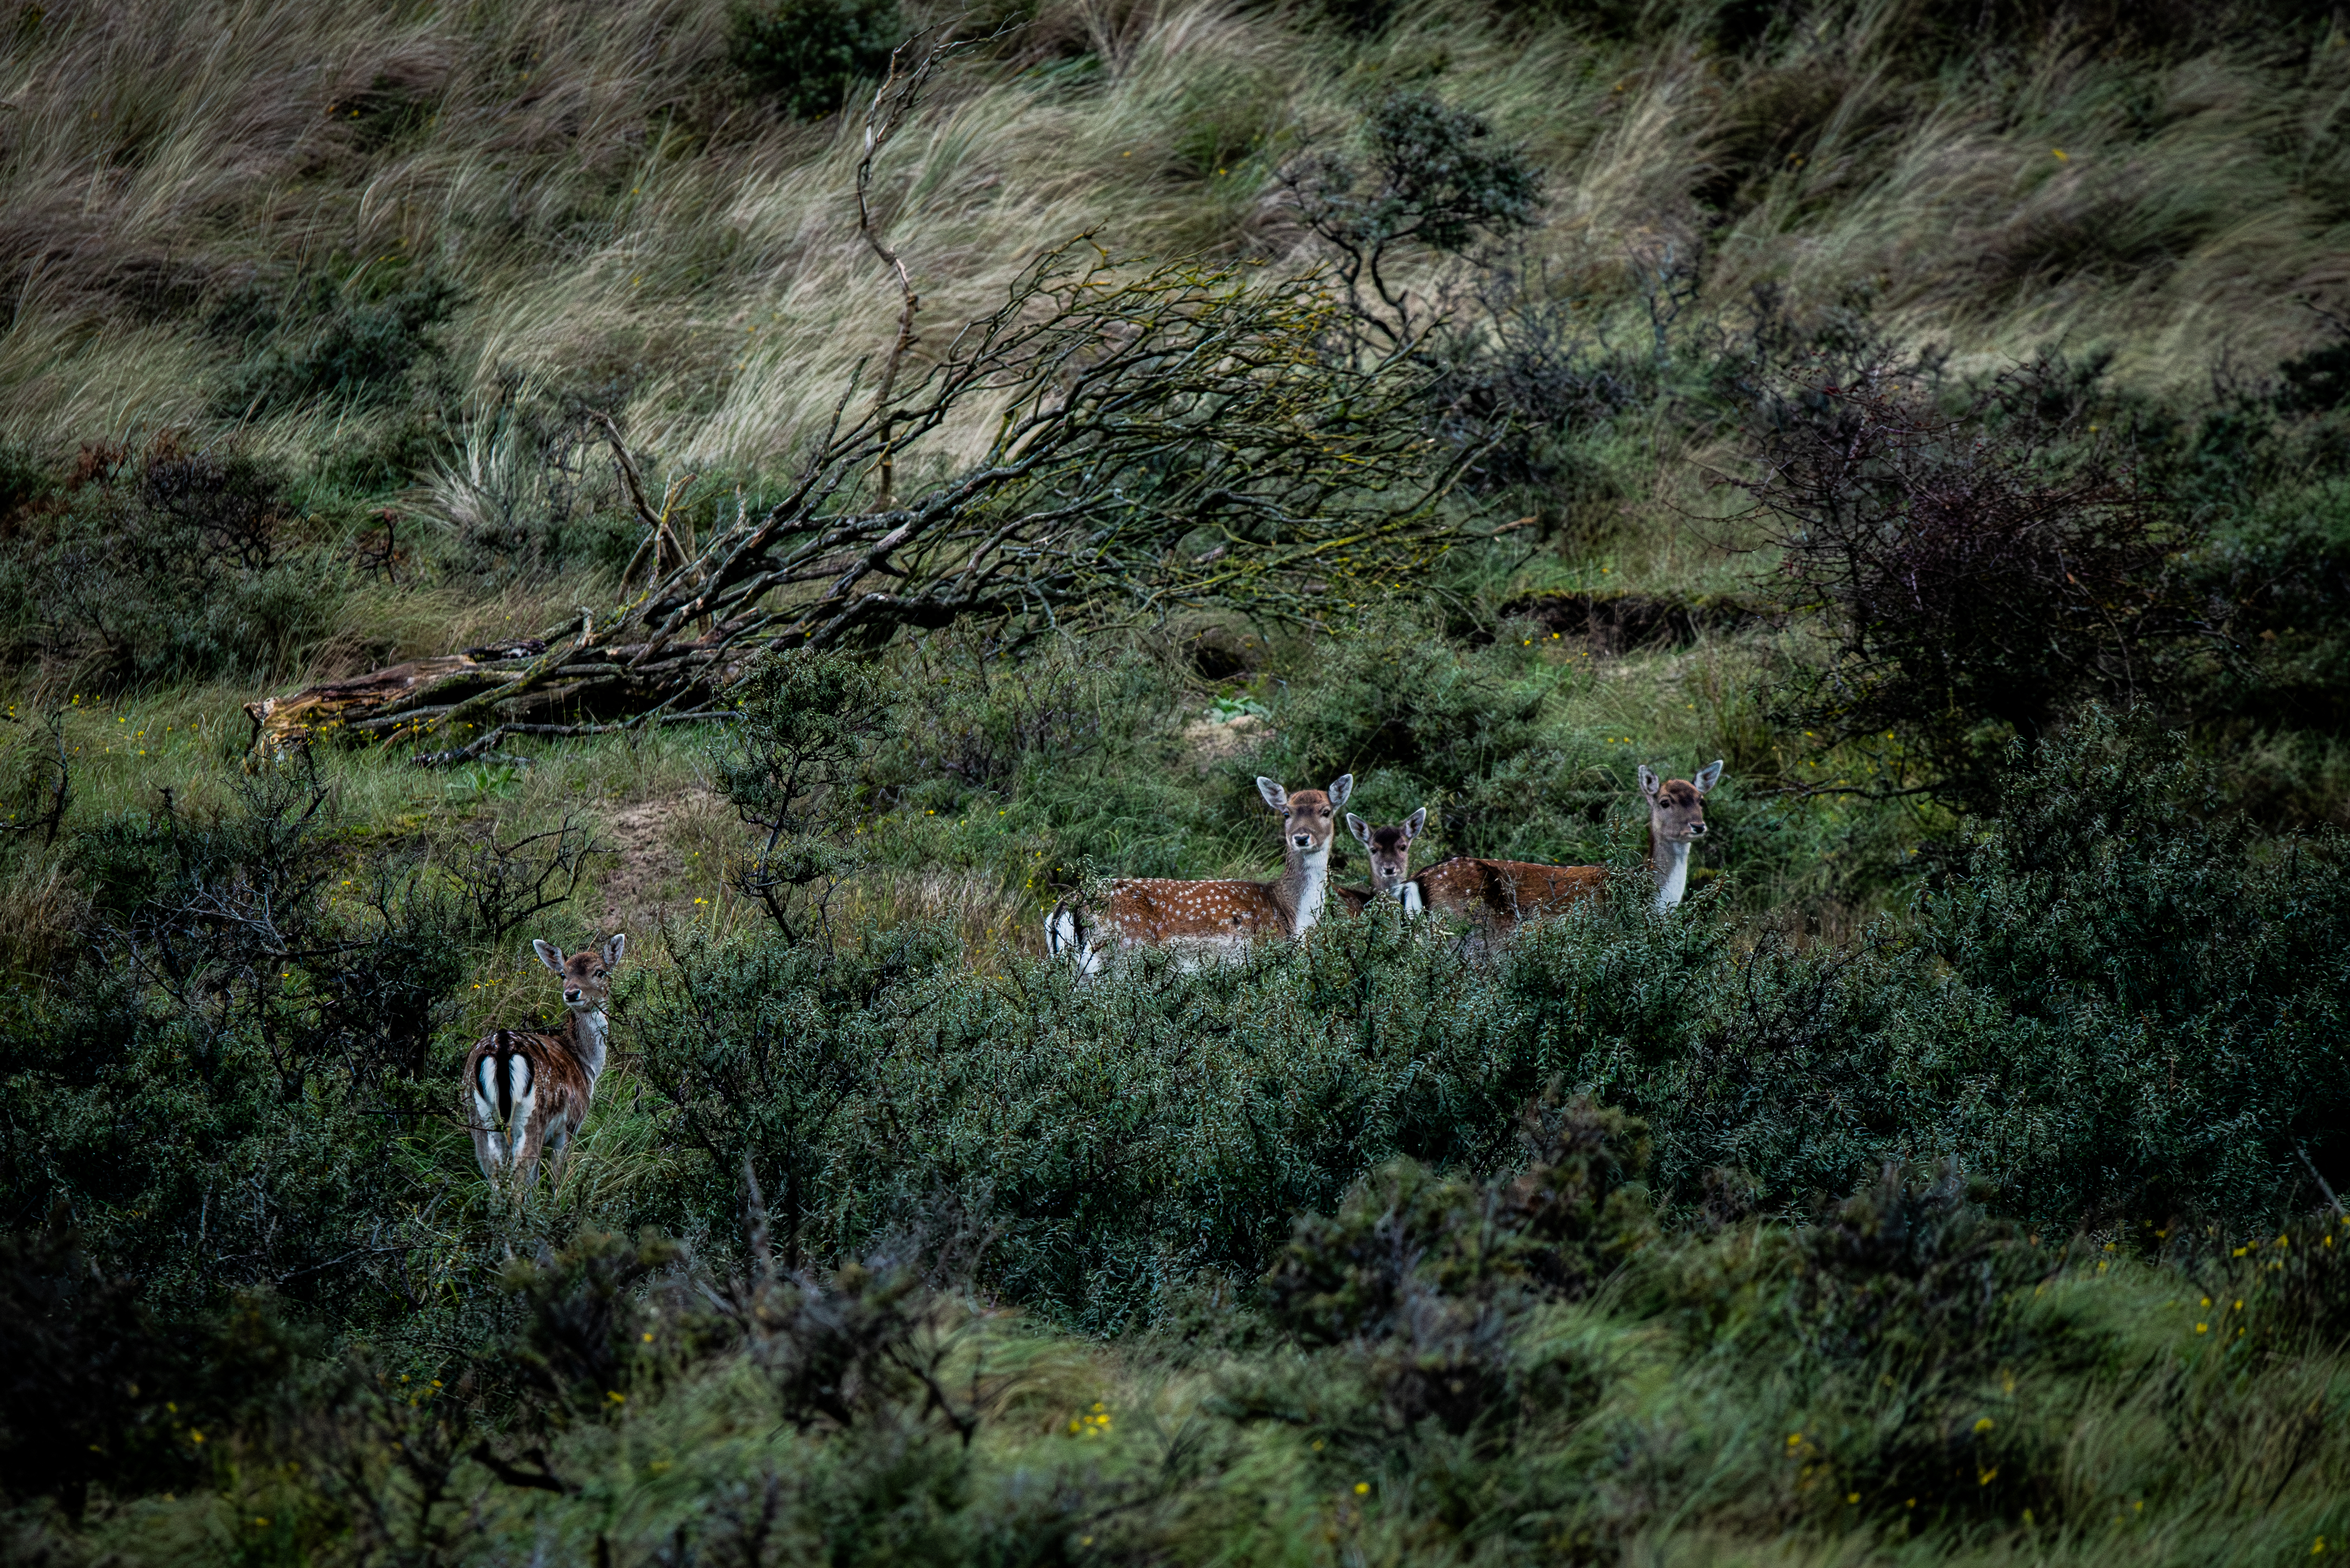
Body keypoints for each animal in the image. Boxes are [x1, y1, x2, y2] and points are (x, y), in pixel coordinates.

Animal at [458, 931, 620, 1189]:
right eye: (563, 974)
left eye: (600, 972)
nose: (572, 993)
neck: (587, 1064)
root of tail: (501, 1050)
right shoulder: (571, 1124)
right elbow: (557, 1177)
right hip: (530, 1120)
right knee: (518, 1180)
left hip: (479, 1118)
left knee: (496, 1177)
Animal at [1053, 776, 1363, 973]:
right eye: (1286, 813)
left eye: (1326, 811)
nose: (1301, 838)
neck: (1291, 916)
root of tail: (1069, 905)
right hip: (1120, 954)